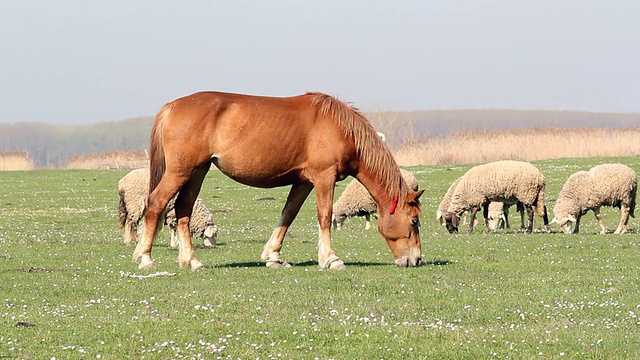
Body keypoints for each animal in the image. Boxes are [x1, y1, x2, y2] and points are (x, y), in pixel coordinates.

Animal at [134, 90, 424, 270]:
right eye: (414, 221)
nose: (418, 260)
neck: (340, 128)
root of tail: (173, 106)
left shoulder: (304, 182)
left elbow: (288, 214)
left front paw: (273, 256)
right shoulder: (324, 177)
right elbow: (324, 216)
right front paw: (330, 259)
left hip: (197, 172)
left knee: (183, 209)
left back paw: (191, 261)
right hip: (179, 172)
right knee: (156, 203)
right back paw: (145, 257)